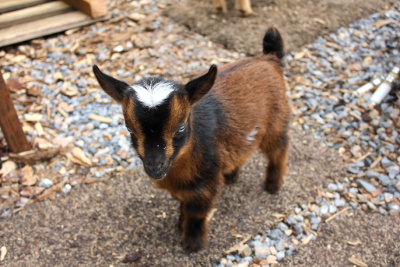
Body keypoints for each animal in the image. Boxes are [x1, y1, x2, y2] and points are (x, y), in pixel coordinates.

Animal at [94, 26, 294, 252]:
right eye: (129, 128)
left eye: (181, 127)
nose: (154, 167)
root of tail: (270, 59)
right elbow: (183, 203)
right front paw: (180, 224)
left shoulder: (204, 183)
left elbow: (196, 212)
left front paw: (193, 242)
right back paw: (231, 175)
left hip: (275, 121)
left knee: (279, 148)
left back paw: (273, 185)